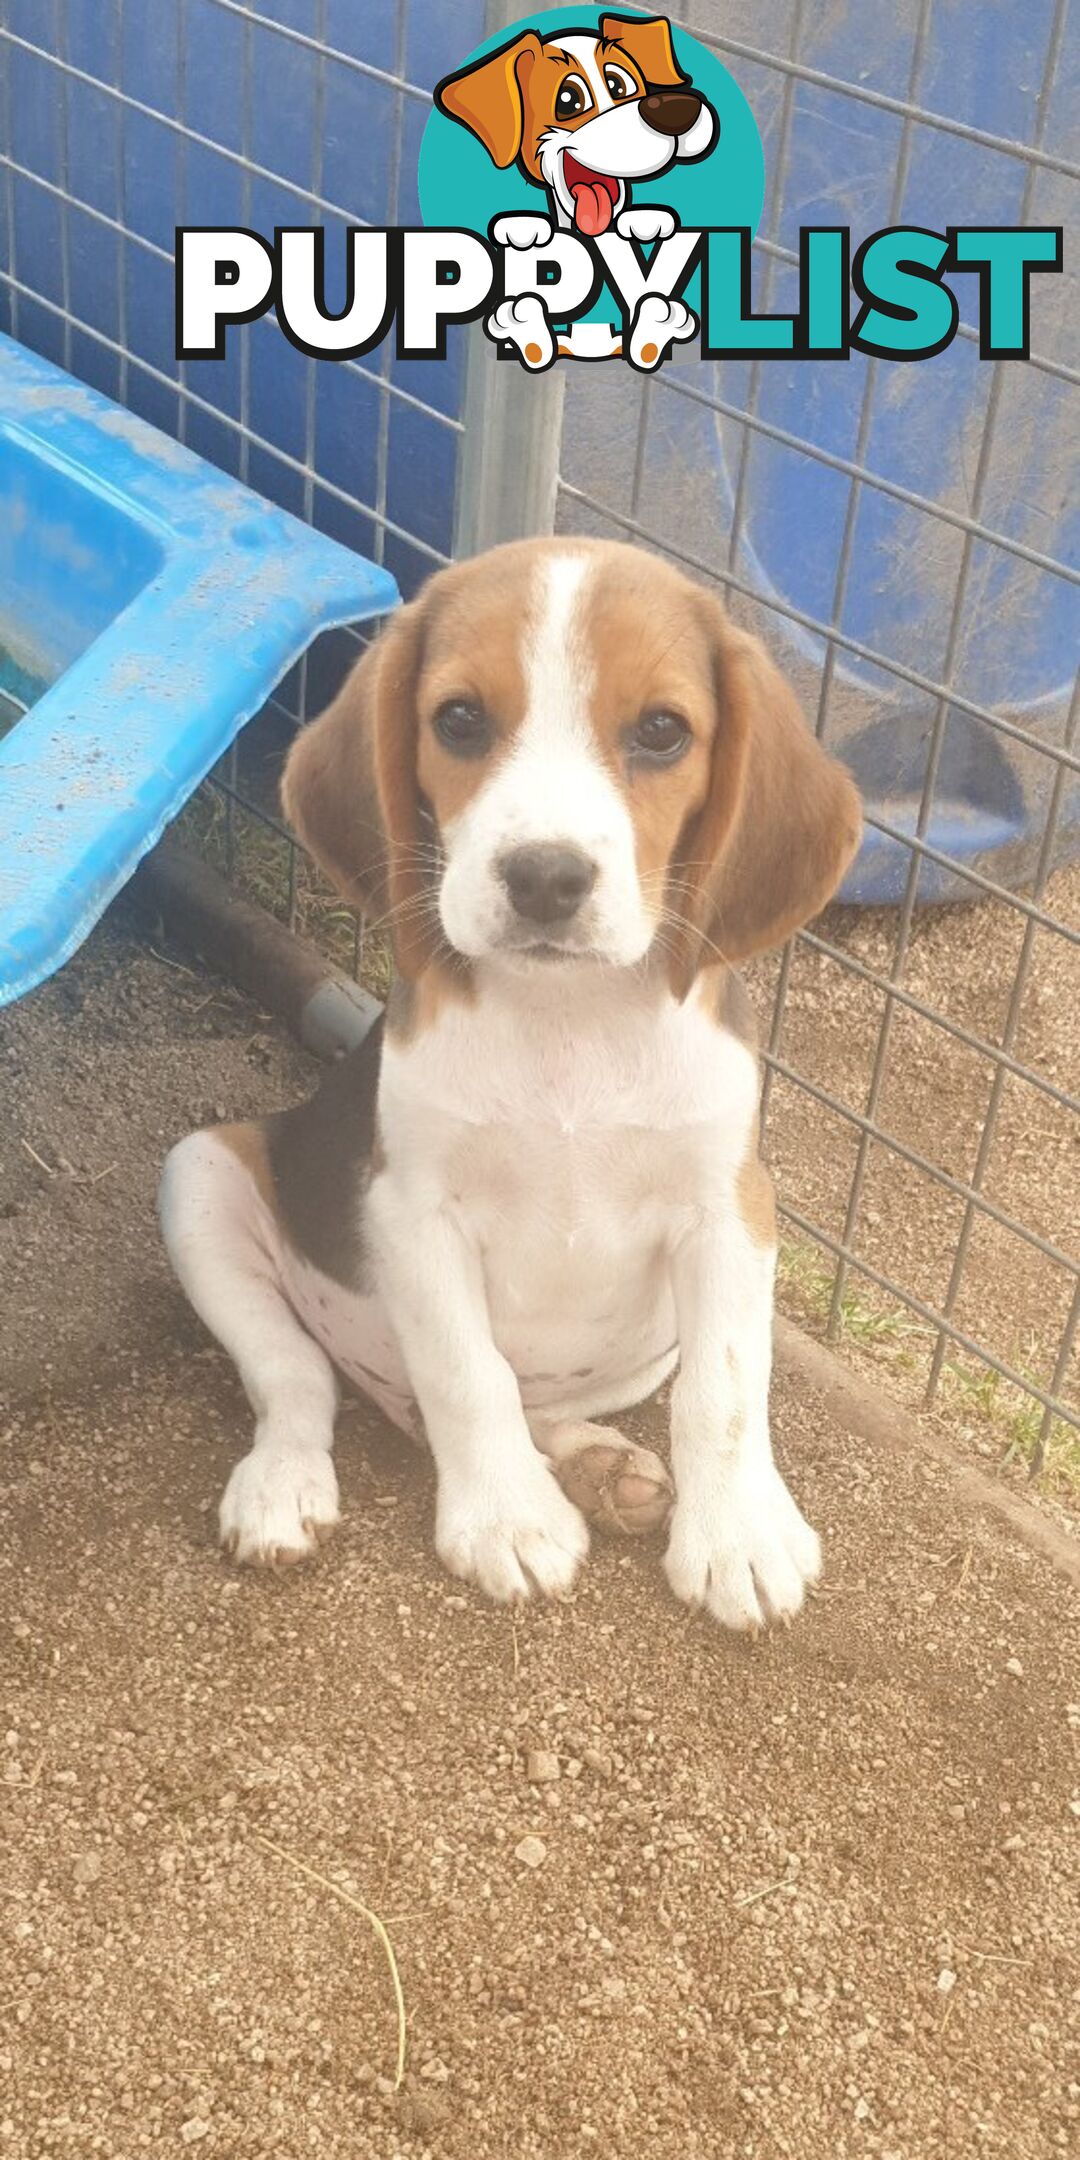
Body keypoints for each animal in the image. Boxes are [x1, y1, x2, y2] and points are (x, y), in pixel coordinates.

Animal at [159, 540, 864, 1632]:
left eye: (662, 731)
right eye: (458, 720)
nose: (544, 877)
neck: (567, 1017)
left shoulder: (732, 1209)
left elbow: (726, 1389)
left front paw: (738, 1535)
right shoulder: (412, 1209)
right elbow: (467, 1373)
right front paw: (505, 1519)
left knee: (547, 1405)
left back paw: (599, 1468)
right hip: (200, 1174)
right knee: (301, 1379)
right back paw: (287, 1484)